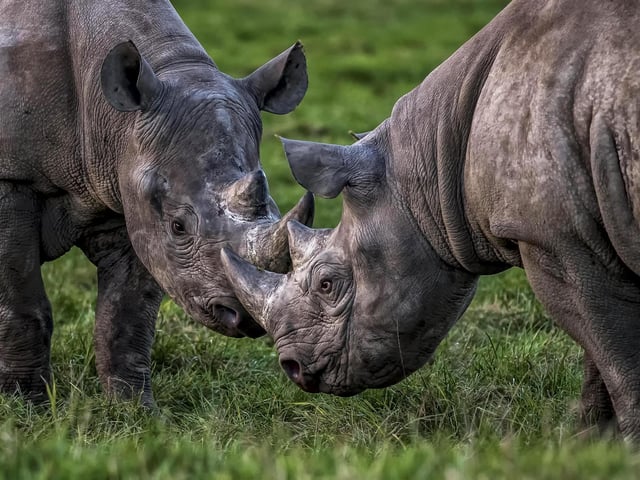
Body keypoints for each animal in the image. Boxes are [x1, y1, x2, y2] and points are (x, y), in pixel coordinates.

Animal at [0, 0, 314, 405]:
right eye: (179, 227)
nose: (246, 318)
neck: (112, 118)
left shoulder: (129, 191)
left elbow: (127, 312)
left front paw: (135, 409)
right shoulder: (12, 179)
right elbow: (23, 304)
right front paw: (27, 406)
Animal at [222, 0, 640, 438]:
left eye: (326, 284)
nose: (292, 367)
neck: (433, 160)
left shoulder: (557, 239)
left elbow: (616, 354)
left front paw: (624, 439)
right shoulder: (588, 234)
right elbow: (599, 357)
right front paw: (588, 439)